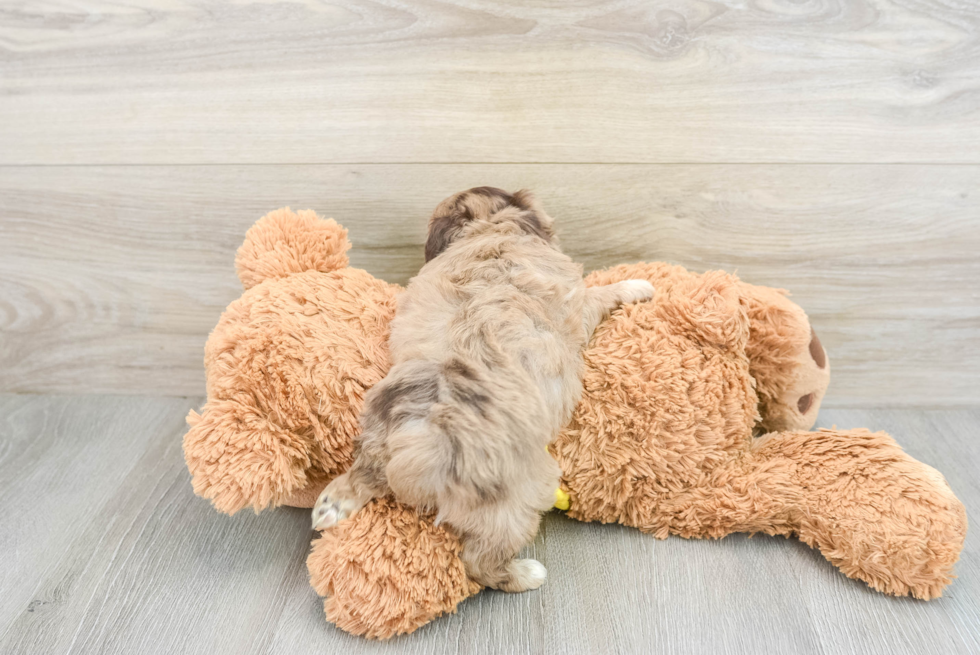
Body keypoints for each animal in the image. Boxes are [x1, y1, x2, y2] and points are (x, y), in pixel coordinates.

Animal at [312, 187, 652, 592]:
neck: (490, 230)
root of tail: (426, 437)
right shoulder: (580, 306)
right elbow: (604, 292)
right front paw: (638, 285)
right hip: (515, 504)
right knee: (480, 563)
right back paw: (526, 575)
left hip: (378, 431)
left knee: (364, 474)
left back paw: (332, 506)